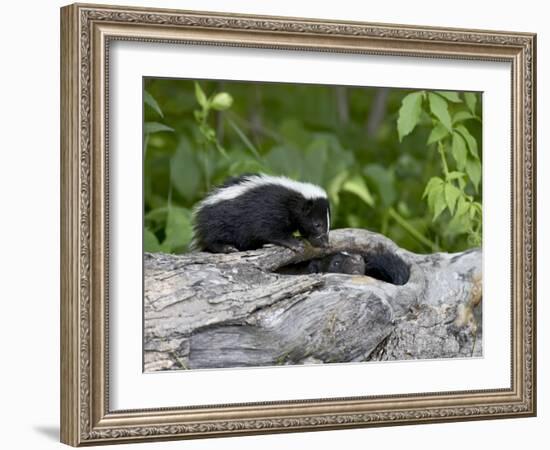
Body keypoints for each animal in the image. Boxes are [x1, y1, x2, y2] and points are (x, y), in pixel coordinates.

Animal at [194, 173, 332, 253]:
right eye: (317, 224)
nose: (326, 243)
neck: (293, 198)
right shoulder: (270, 209)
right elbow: (270, 230)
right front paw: (294, 243)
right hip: (218, 221)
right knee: (213, 238)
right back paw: (227, 247)